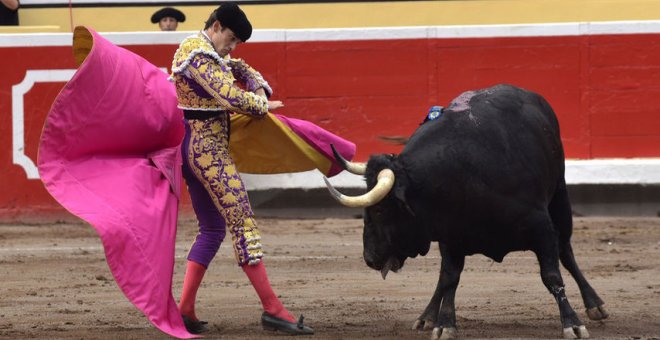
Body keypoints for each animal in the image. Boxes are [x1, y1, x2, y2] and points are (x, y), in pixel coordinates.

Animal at [324, 83, 608, 338]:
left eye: (381, 210)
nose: (369, 258)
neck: (466, 171)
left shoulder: (542, 228)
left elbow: (552, 274)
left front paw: (572, 324)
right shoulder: (450, 235)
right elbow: (450, 277)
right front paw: (444, 324)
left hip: (559, 196)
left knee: (566, 251)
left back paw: (594, 304)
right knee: (443, 276)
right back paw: (427, 316)